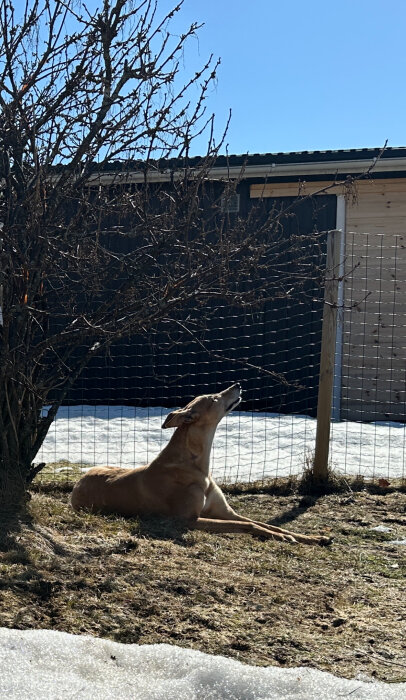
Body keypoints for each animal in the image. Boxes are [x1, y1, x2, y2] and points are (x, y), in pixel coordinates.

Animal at [71, 386, 332, 544]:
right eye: (215, 398)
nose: (238, 384)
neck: (195, 466)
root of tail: (77, 483)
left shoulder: (225, 512)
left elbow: (263, 523)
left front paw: (310, 537)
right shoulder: (190, 520)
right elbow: (249, 525)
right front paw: (284, 538)